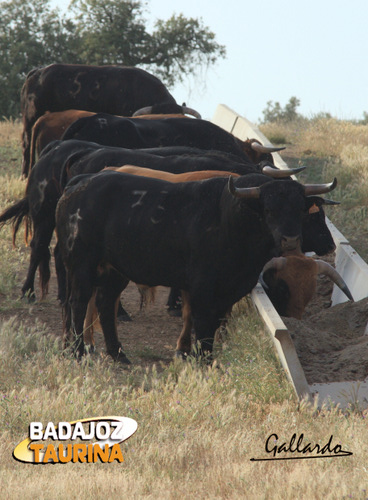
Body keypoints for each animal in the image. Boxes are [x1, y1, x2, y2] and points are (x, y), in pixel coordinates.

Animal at [55, 170, 336, 362]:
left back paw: (118, 353)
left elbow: (216, 322)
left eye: (301, 209)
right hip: (82, 264)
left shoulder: (230, 290)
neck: (230, 218)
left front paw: (208, 358)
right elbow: (201, 322)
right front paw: (200, 358)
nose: (291, 240)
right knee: (77, 303)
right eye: (269, 209)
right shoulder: (202, 286)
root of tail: (80, 183)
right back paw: (78, 351)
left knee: (104, 303)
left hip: (115, 270)